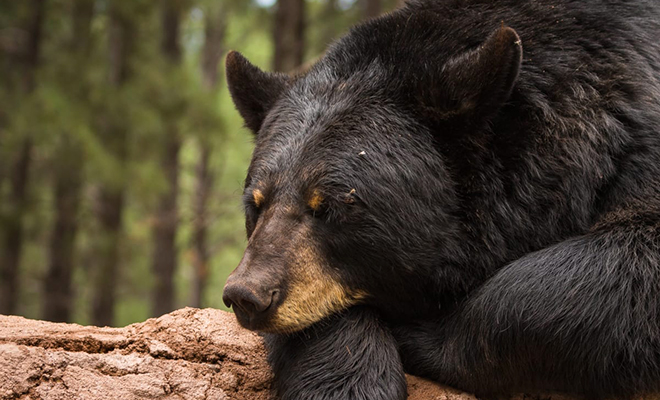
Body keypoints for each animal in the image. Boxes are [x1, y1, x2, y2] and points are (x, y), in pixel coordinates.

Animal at [223, 0, 660, 398]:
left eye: (330, 206)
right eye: (256, 204)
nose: (247, 295)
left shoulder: (634, 140)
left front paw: (420, 336)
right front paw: (349, 381)